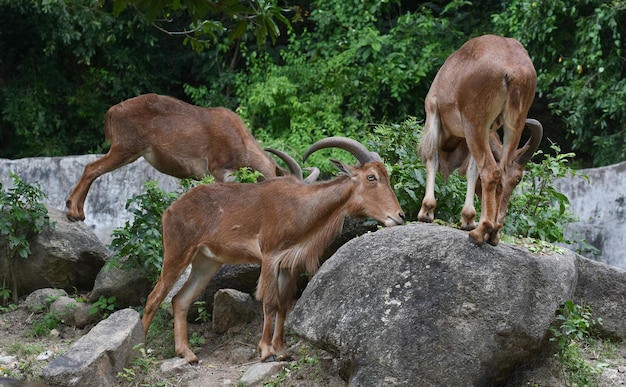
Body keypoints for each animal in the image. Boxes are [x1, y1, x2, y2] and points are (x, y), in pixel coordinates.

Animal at [141, 136, 404, 364]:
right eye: (371, 177)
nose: (399, 216)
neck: (300, 207)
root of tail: (170, 210)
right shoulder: (269, 257)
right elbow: (269, 302)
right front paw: (266, 351)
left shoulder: (288, 264)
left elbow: (284, 304)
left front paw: (282, 350)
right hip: (177, 253)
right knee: (154, 297)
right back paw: (141, 350)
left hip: (206, 263)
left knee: (180, 300)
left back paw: (187, 354)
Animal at [414, 34, 536, 246]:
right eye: (518, 179)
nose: (502, 219)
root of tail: (514, 72)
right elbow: (472, 171)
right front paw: (468, 219)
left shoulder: (433, 111)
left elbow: (432, 160)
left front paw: (426, 212)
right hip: (514, 124)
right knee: (500, 172)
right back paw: (493, 234)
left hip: (475, 121)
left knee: (490, 171)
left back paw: (480, 232)